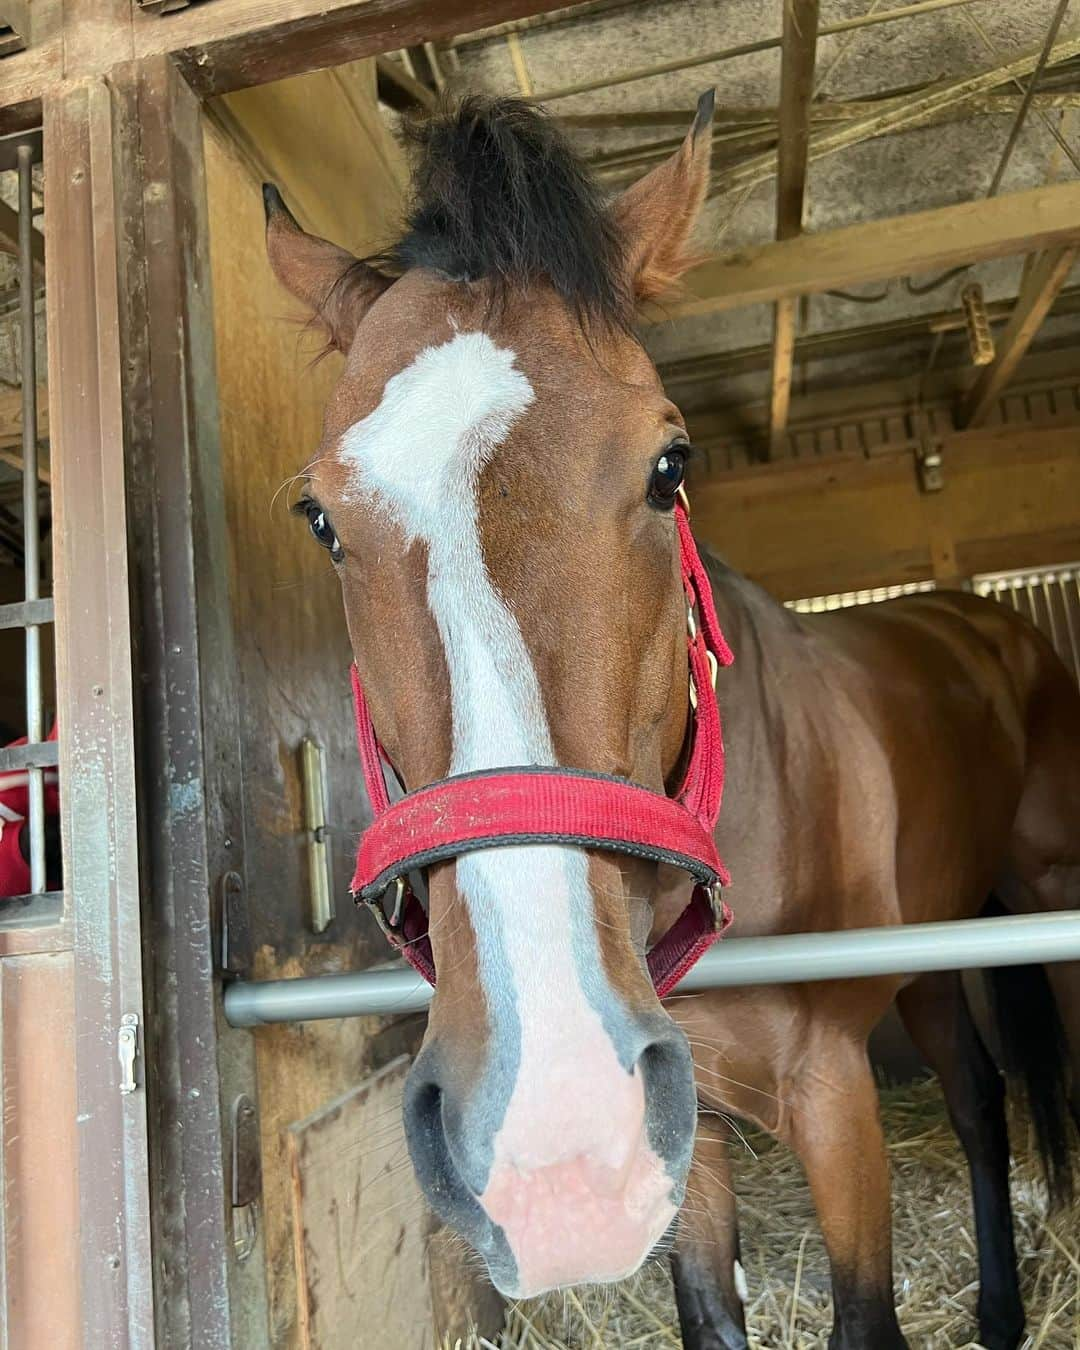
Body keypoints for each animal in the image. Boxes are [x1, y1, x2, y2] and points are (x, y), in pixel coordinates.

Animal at [263, 97, 1080, 1350]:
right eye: (321, 519)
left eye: (670, 463)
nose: (545, 1135)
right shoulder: (676, 1131)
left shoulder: (832, 1093)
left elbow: (865, 1318)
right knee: (981, 1100)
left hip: (1041, 889)